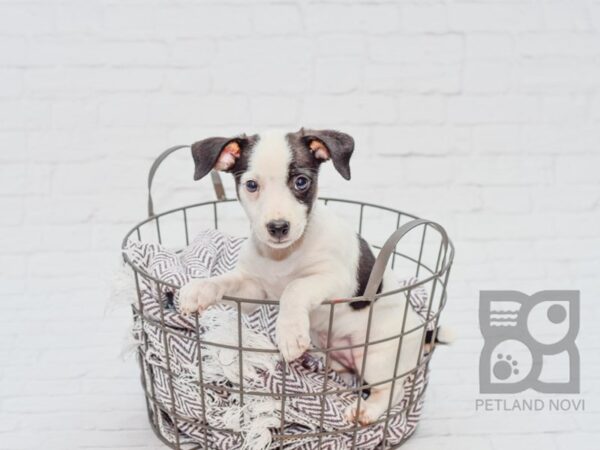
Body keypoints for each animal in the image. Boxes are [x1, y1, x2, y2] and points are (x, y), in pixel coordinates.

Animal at [180, 128, 428, 424]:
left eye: (301, 181)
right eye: (251, 185)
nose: (278, 227)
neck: (283, 256)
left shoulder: (336, 280)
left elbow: (295, 287)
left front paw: (289, 333)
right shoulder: (253, 290)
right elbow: (225, 279)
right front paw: (200, 289)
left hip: (379, 355)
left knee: (391, 390)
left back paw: (367, 409)